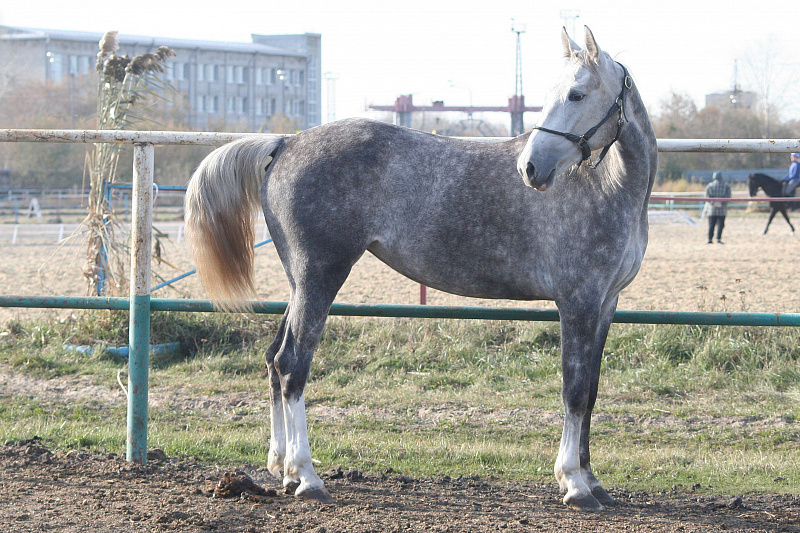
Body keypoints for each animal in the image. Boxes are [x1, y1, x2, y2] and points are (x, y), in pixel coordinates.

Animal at [185, 26, 658, 512]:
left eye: (577, 94)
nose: (531, 168)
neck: (606, 186)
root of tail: (286, 143)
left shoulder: (605, 303)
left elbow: (592, 390)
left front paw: (593, 481)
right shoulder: (576, 302)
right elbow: (574, 390)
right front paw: (574, 484)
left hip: (300, 283)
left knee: (273, 359)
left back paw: (281, 467)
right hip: (321, 276)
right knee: (292, 365)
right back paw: (307, 476)